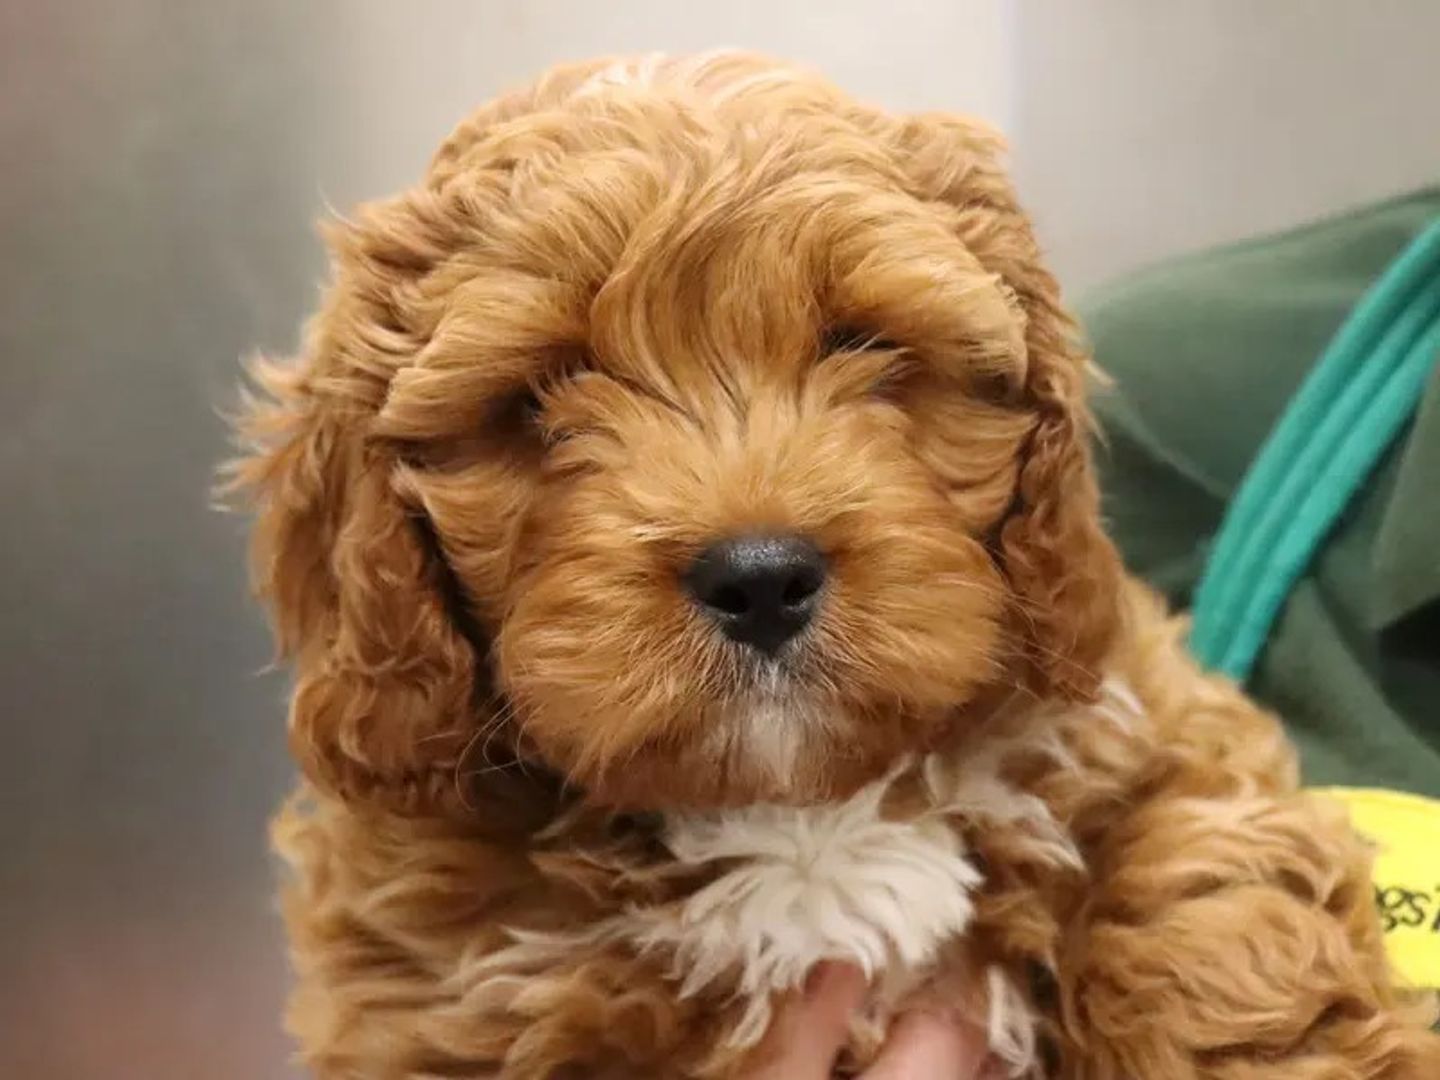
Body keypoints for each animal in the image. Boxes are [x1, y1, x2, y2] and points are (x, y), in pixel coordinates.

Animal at [227, 52, 1440, 1080]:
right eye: (535, 394)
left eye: (864, 344)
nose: (760, 577)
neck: (805, 810)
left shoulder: (1154, 723)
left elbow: (1207, 907)